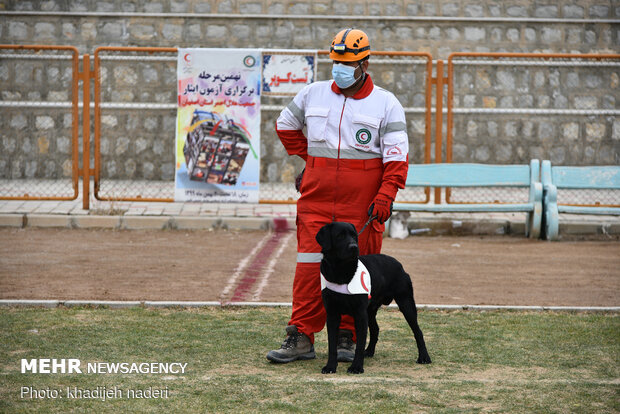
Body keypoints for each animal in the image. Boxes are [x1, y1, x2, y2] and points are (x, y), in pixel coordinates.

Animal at [318, 222, 428, 374]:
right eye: (339, 236)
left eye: (354, 235)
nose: (354, 247)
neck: (341, 272)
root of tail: (399, 264)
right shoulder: (332, 314)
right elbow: (332, 345)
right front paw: (330, 366)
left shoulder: (359, 313)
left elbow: (359, 343)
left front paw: (357, 367)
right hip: (370, 311)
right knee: (375, 329)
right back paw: (369, 351)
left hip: (406, 303)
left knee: (418, 331)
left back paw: (424, 357)